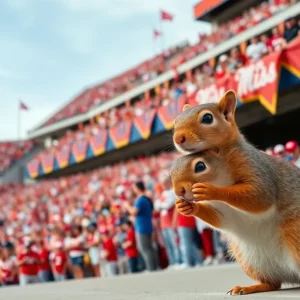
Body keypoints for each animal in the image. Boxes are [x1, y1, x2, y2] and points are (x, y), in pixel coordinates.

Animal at [171, 89, 300, 296]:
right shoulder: (226, 214)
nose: (179, 191)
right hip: (249, 260)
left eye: (207, 118)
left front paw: (210, 190)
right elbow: (219, 220)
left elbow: (259, 196)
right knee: (273, 283)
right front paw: (186, 207)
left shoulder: (254, 167)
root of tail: (292, 275)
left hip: (295, 235)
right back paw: (249, 287)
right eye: (175, 122)